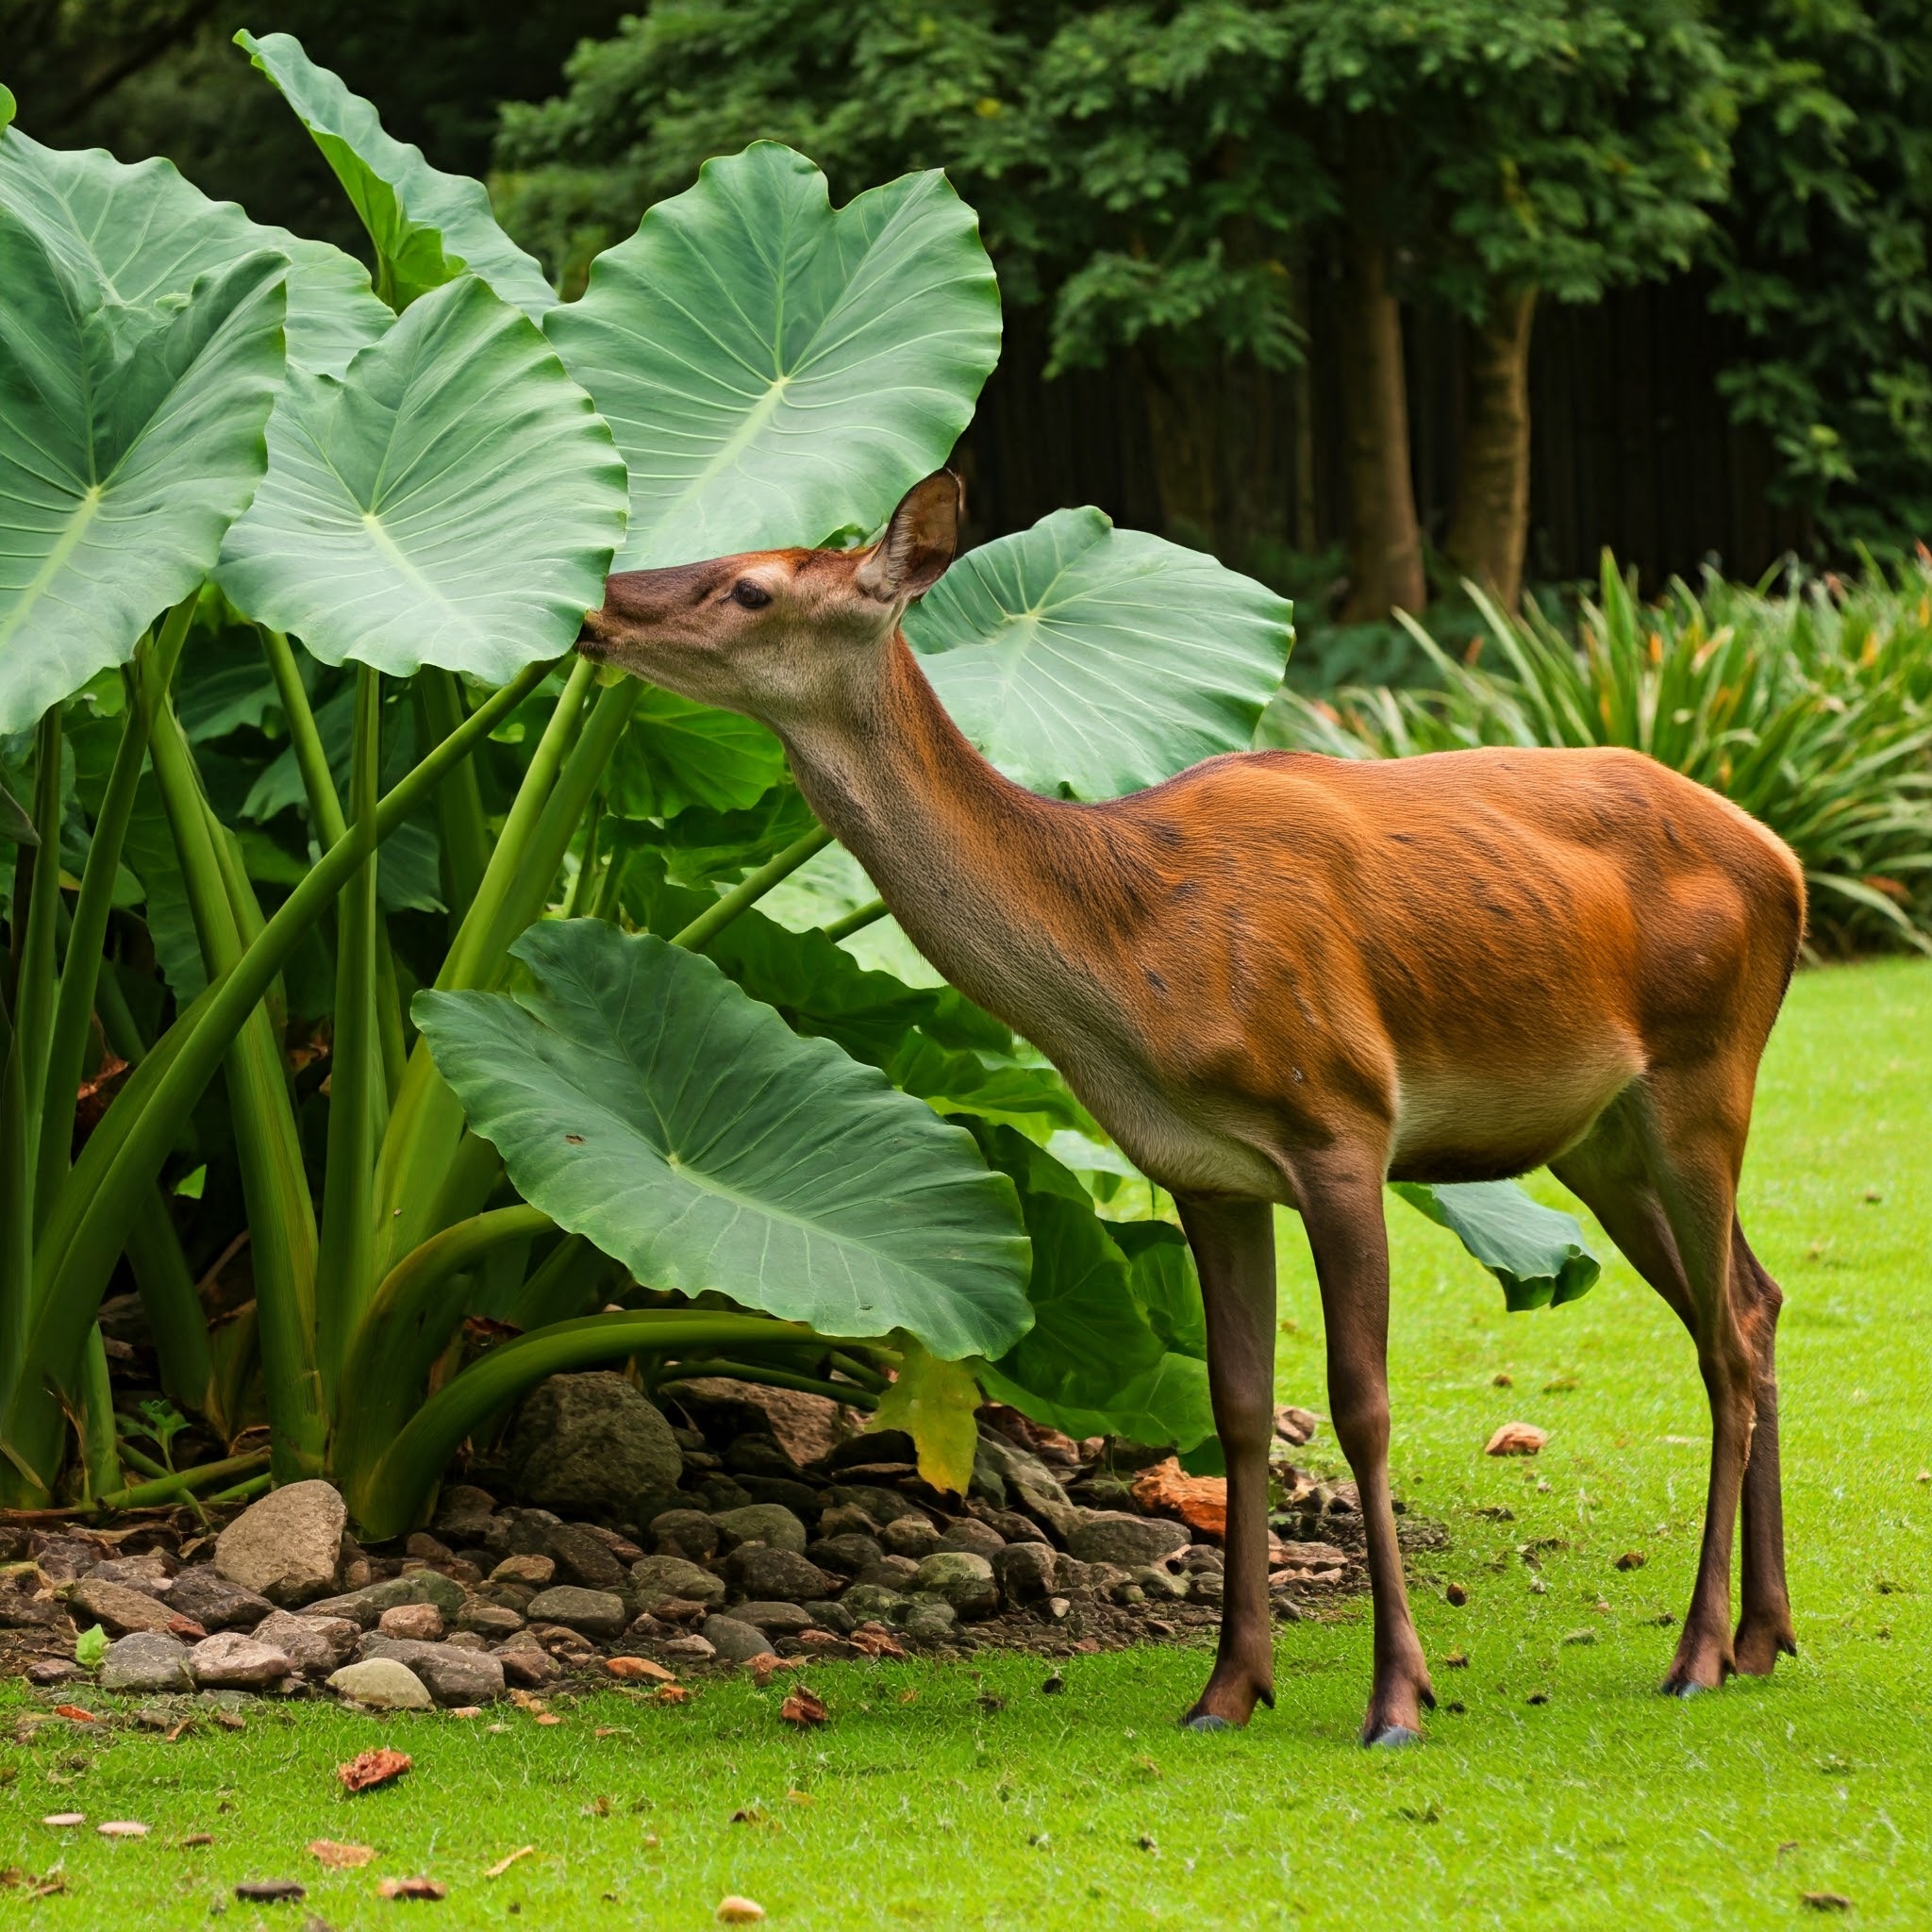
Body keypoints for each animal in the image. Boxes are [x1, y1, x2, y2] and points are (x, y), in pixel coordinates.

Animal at [575, 475, 1807, 1746]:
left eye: (750, 586)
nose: (595, 609)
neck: (1136, 977)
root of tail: (1787, 862)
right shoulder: (1205, 1174)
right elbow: (1238, 1404)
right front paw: (1227, 1686)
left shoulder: (1342, 1122)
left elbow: (1360, 1402)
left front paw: (1396, 1695)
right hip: (1600, 1139)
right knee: (1753, 1301)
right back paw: (1764, 1633)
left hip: (1701, 1073)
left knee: (1723, 1333)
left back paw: (1698, 1650)